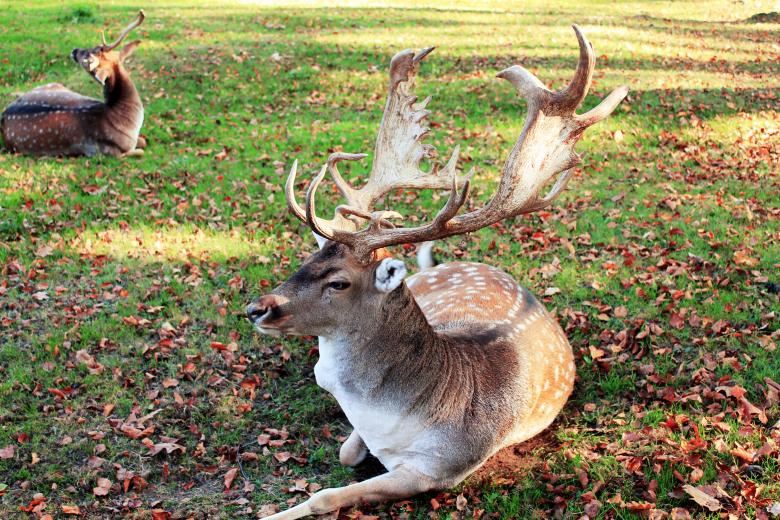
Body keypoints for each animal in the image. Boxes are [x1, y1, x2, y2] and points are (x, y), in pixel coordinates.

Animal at [0, 11, 146, 157]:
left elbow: (143, 141)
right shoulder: (110, 152)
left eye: (88, 54)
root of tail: (3, 116)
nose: (74, 50)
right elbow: (141, 150)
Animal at [246, 26, 627, 519]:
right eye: (306, 261)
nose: (256, 309)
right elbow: (346, 452)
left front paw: (273, 513)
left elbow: (328, 493)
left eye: (338, 282)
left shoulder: (440, 468)